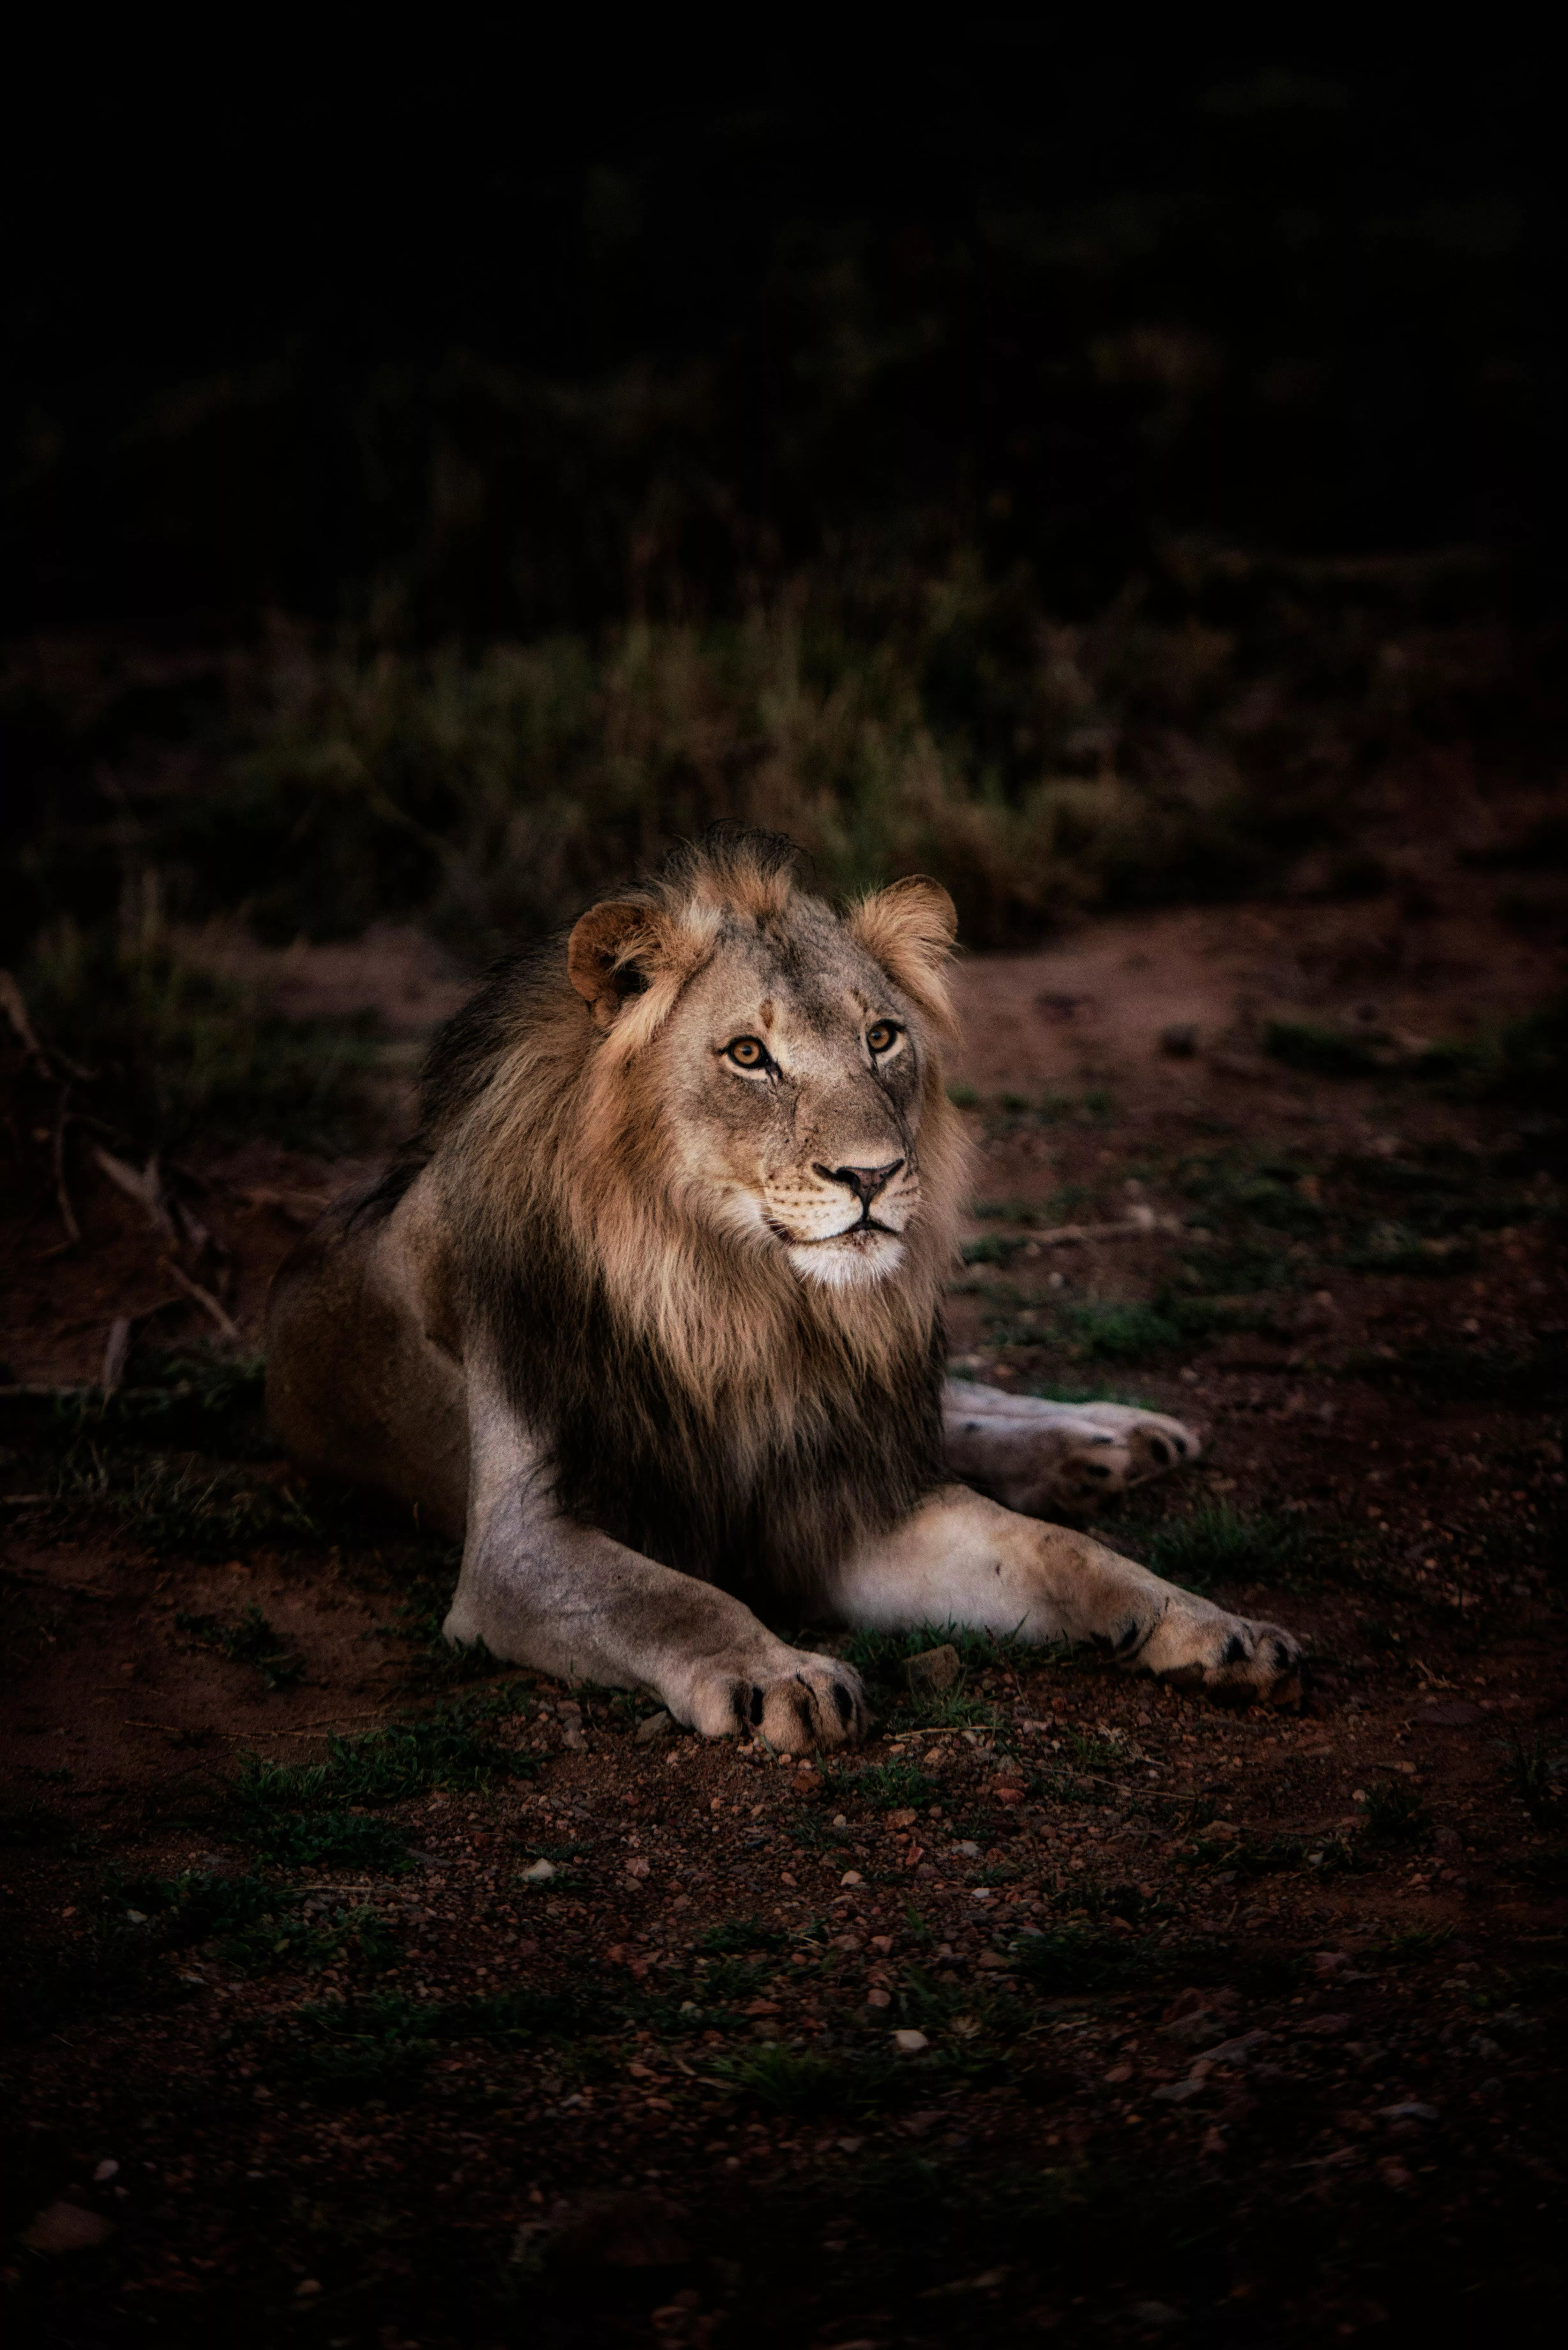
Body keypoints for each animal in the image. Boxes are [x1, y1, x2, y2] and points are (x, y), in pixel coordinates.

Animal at [265, 827, 1303, 1751]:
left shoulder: (844, 1496)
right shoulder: (519, 1549)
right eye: (747, 1055)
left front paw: (1207, 1623)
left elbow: (1060, 1551)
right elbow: (678, 1599)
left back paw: (1110, 1435)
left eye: (881, 1037)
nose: (873, 1174)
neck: (742, 1306)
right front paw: (784, 1675)